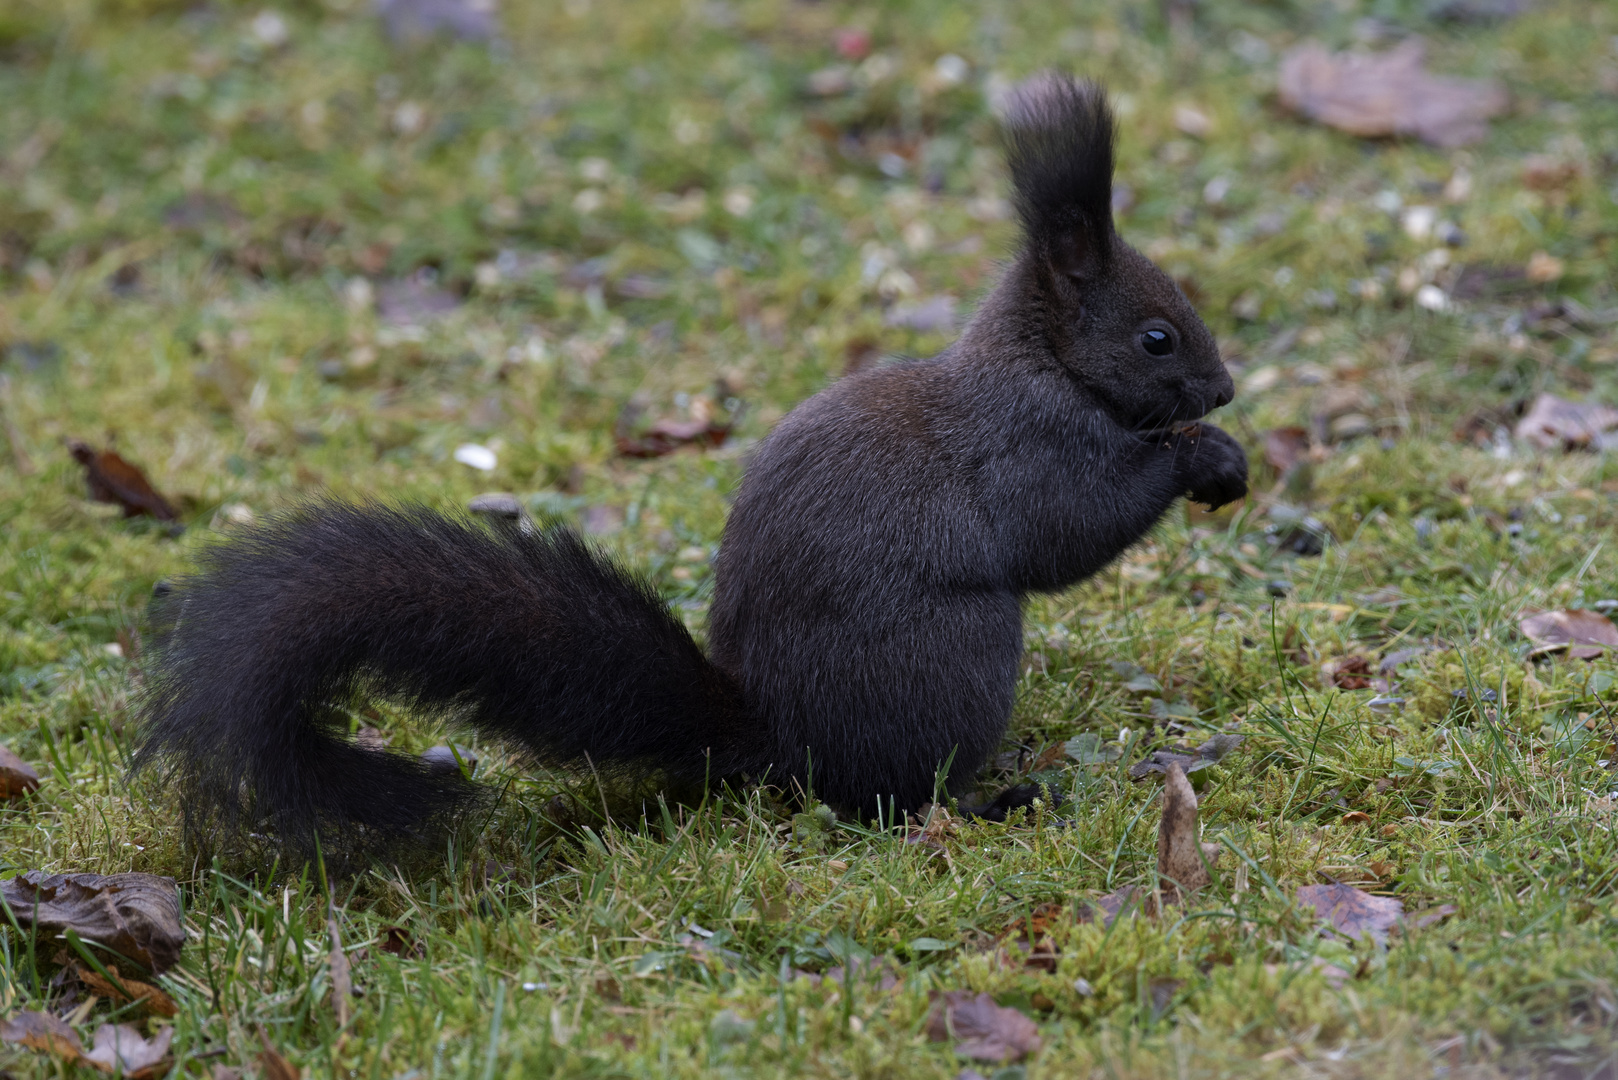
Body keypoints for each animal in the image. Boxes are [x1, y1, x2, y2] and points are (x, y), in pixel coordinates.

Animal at [139, 74, 1249, 854]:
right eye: (1156, 337)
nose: (1227, 391)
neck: (1046, 363)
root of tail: (776, 741)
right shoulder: (1026, 445)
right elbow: (1068, 529)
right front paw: (1201, 460)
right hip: (956, 659)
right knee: (889, 799)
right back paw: (991, 801)